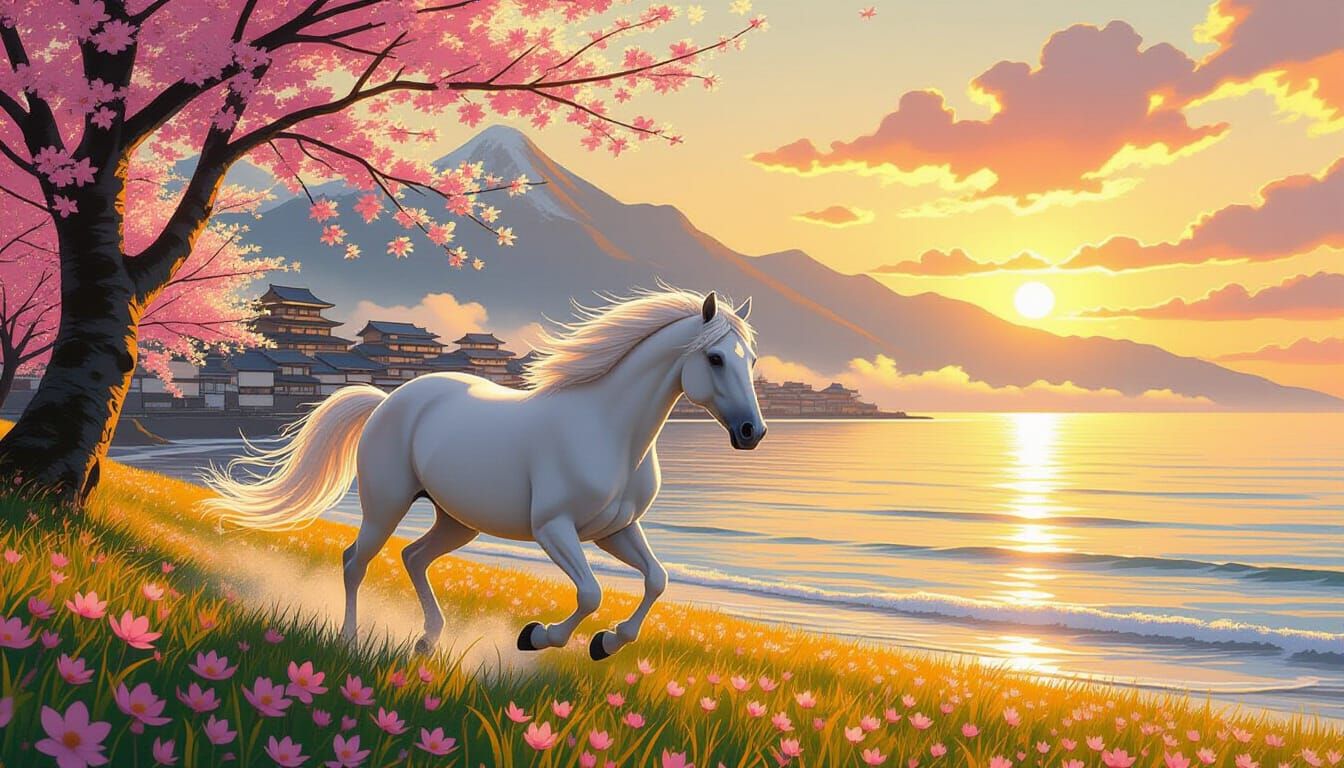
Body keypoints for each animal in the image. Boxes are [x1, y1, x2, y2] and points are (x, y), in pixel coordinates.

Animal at [199, 288, 765, 660]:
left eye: (752, 360)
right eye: (716, 358)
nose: (751, 432)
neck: (608, 430)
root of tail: (387, 399)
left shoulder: (616, 530)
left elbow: (657, 580)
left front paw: (606, 643)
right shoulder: (554, 529)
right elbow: (590, 593)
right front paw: (536, 636)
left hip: (456, 519)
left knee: (413, 556)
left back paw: (428, 640)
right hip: (385, 504)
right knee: (355, 561)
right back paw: (350, 639)